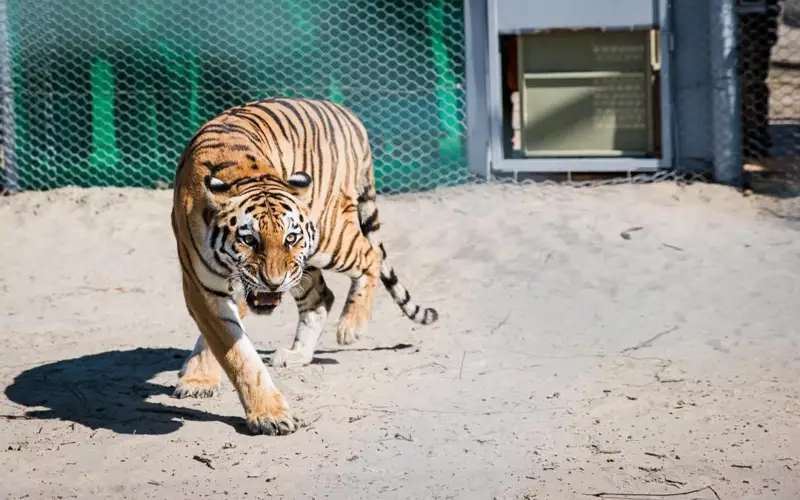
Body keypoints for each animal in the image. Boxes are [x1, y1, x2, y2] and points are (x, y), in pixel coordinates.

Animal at [170, 96, 439, 436]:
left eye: (290, 237)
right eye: (249, 240)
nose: (273, 282)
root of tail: (348, 114)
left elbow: (233, 351)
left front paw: (267, 415)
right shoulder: (203, 287)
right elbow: (233, 350)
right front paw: (203, 381)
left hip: (327, 238)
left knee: (370, 255)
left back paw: (351, 326)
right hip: (304, 264)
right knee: (321, 296)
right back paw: (298, 354)